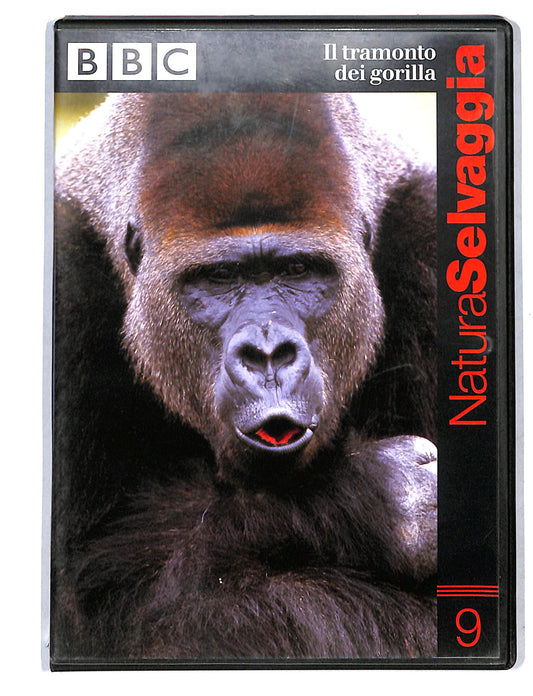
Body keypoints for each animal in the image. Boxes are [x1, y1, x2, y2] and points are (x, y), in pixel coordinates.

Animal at [51, 93, 437, 664]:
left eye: (298, 270)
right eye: (219, 277)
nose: (268, 355)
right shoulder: (63, 278)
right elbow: (106, 598)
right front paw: (376, 501)